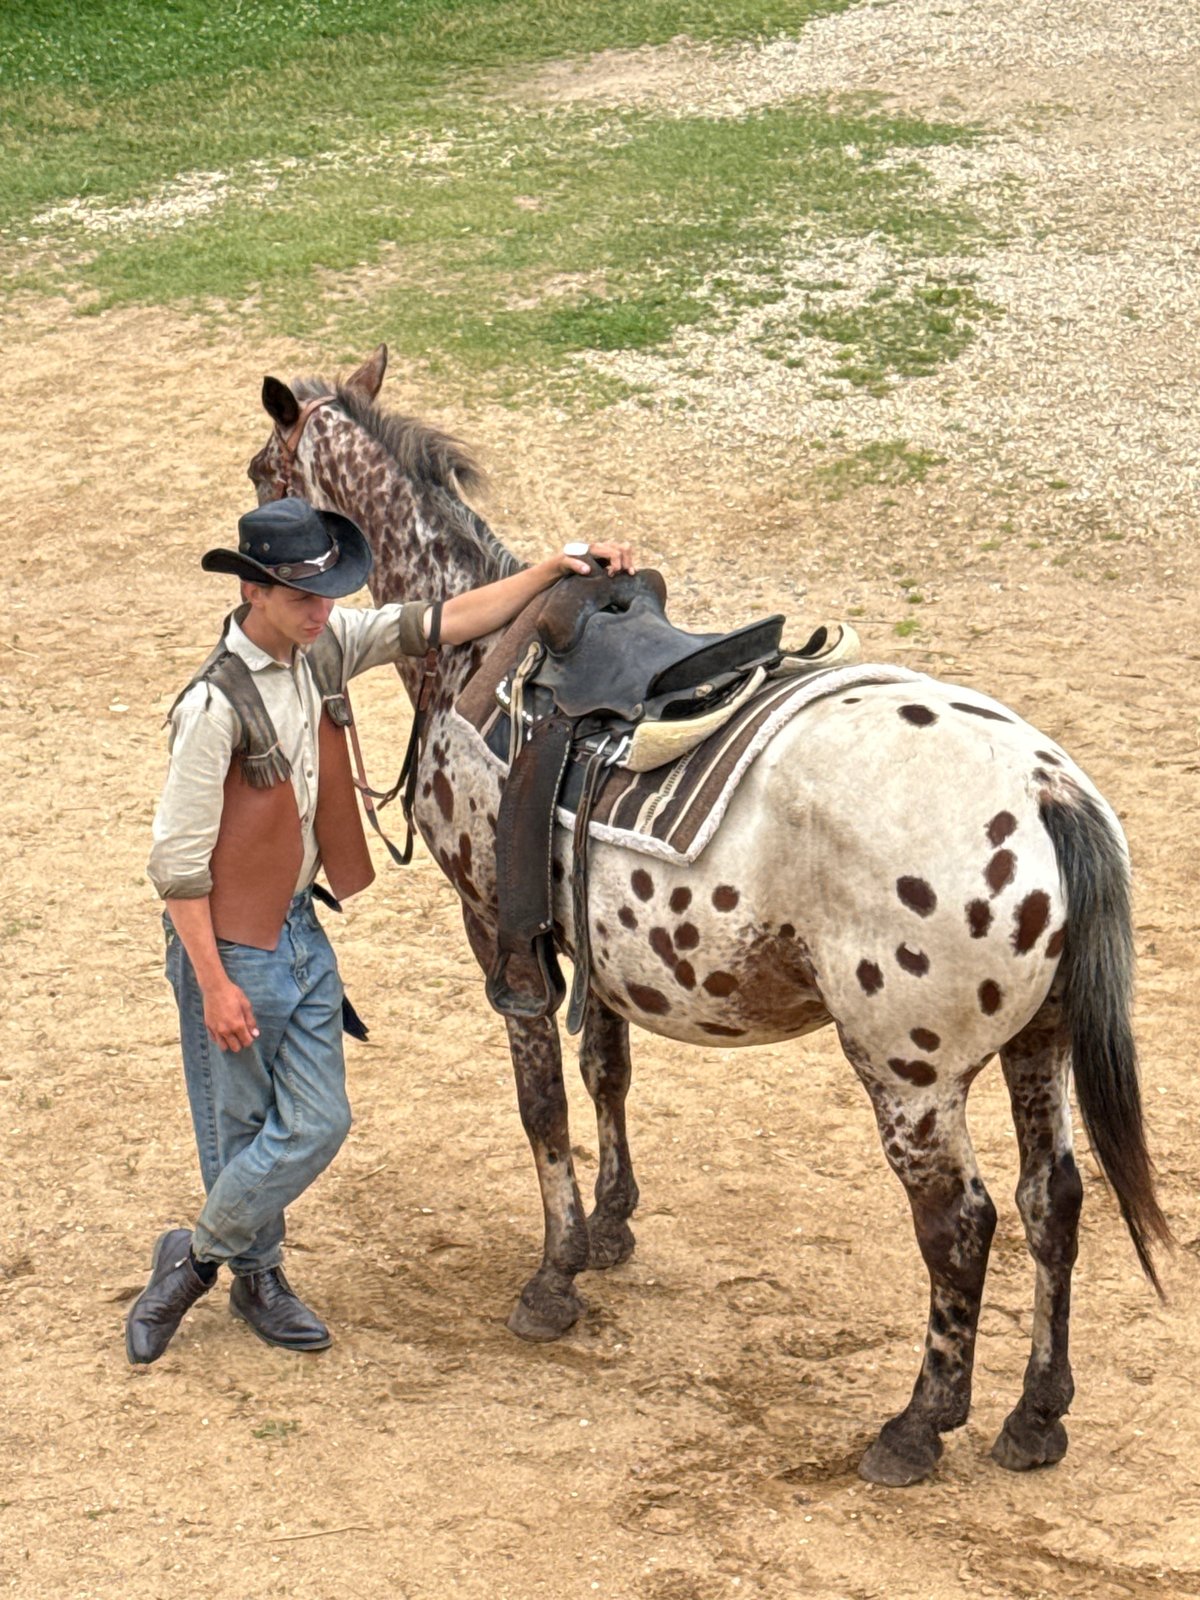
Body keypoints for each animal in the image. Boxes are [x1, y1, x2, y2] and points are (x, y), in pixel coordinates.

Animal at [247, 344, 1170, 1487]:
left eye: (261, 473)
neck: (476, 641)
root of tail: (1048, 789)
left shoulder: (499, 934)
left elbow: (542, 1106)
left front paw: (554, 1276)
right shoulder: (582, 943)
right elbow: (605, 1070)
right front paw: (610, 1226)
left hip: (909, 1076)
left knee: (959, 1222)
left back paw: (918, 1424)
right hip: (1039, 1043)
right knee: (1055, 1201)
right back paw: (1036, 1414)